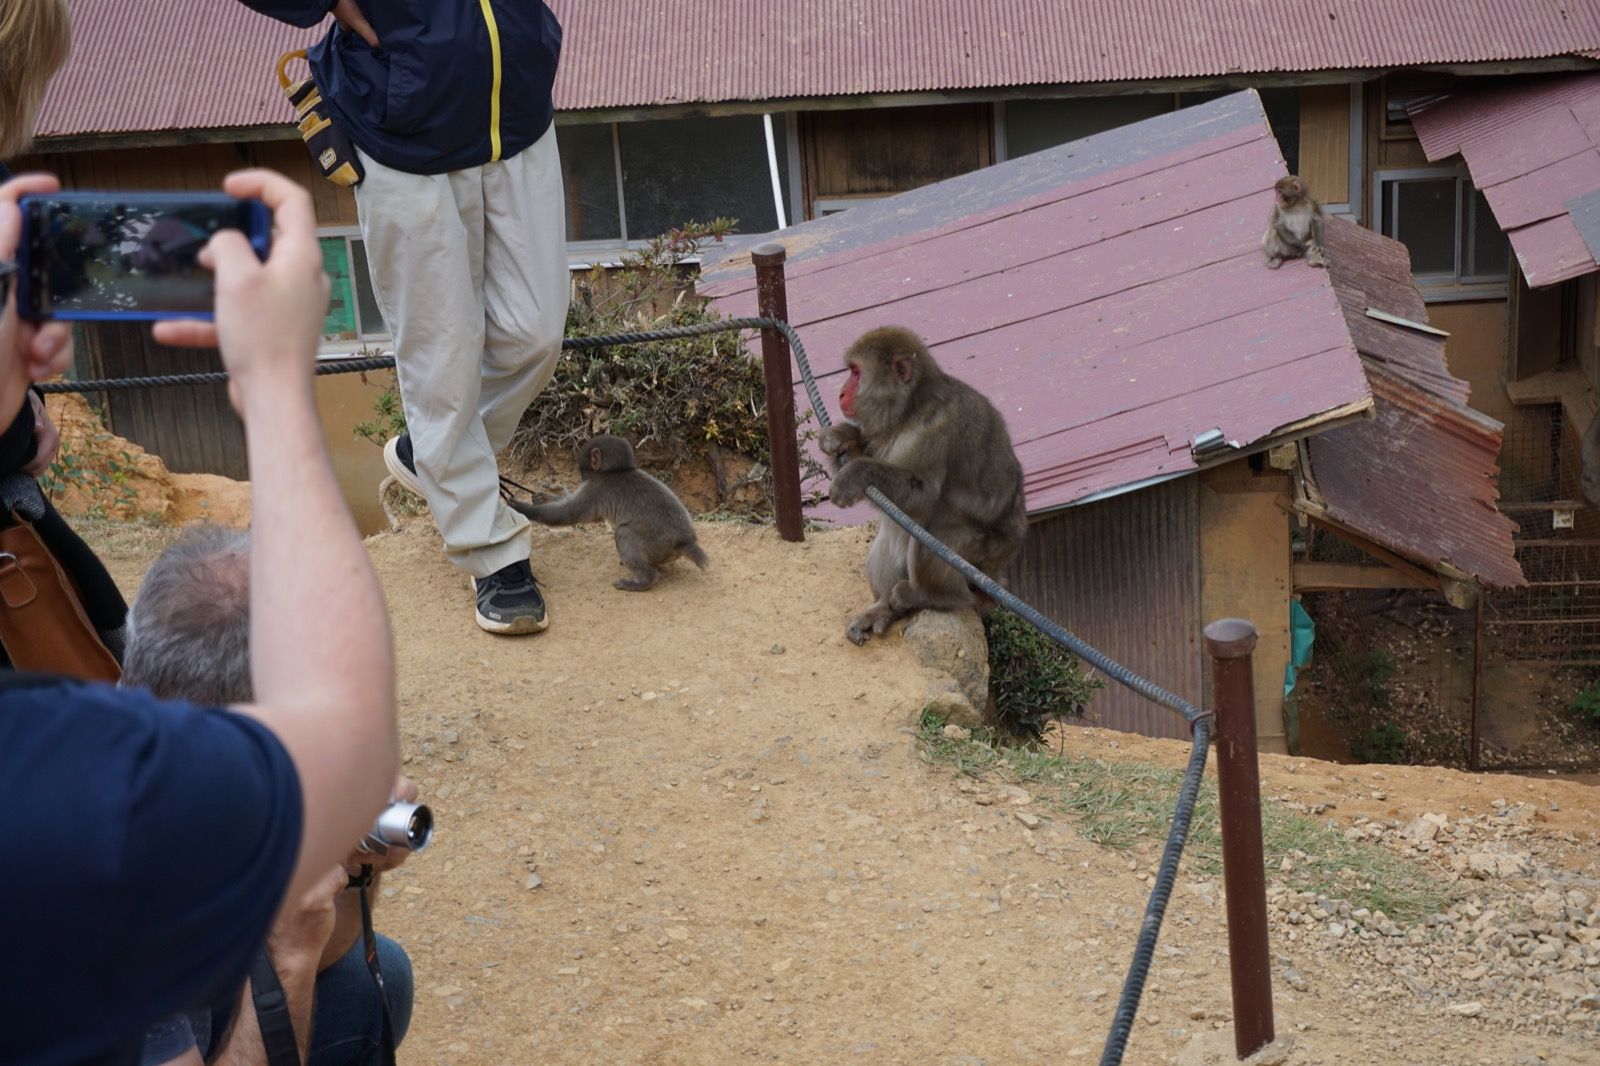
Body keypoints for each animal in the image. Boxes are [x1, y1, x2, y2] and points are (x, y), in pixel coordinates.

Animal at [515, 435, 710, 592]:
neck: (616, 470)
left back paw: (643, 581)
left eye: (582, 469)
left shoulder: (596, 488)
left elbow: (568, 514)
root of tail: (686, 541)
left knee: (623, 532)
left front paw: (522, 508)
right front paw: (543, 497)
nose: (582, 477)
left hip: (657, 543)